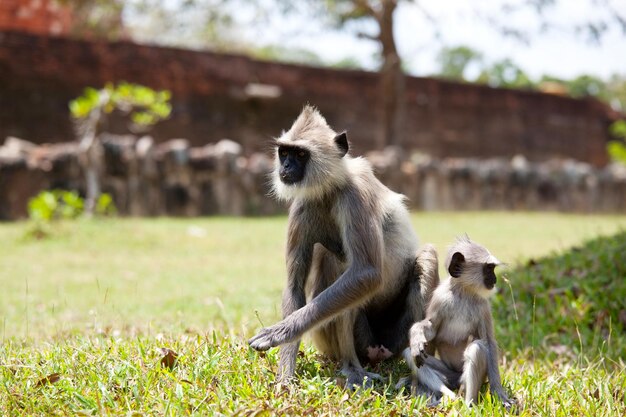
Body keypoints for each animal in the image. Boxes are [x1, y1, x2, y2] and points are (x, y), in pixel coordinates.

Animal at [246, 105, 436, 386]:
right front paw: (285, 373)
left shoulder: (355, 197)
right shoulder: (302, 206)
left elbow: (367, 273)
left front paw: (278, 332)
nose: (286, 166)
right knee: (333, 259)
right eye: (284, 153)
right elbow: (295, 286)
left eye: (300, 154)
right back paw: (353, 366)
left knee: (421, 257)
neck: (329, 189)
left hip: (394, 337)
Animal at [408, 236, 516, 408]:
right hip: (451, 373)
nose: (494, 278)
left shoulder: (483, 306)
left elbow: (489, 343)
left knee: (477, 348)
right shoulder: (440, 297)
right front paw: (417, 339)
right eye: (489, 269)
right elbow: (430, 328)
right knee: (409, 353)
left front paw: (499, 394)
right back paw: (447, 394)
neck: (463, 293)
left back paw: (467, 405)